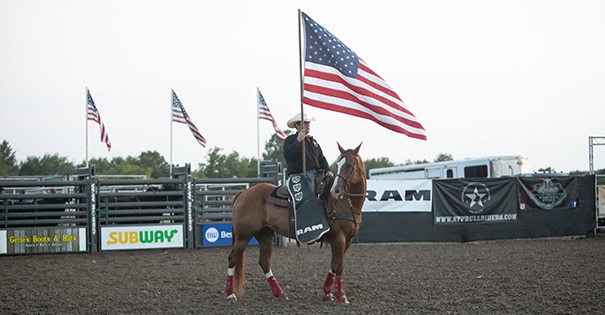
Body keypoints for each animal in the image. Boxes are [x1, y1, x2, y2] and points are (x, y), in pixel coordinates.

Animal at [224, 143, 366, 304]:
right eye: (338, 164)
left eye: (349, 165)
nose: (336, 190)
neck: (344, 203)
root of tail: (243, 193)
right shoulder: (339, 238)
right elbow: (339, 266)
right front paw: (341, 296)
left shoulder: (347, 240)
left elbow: (334, 265)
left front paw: (327, 294)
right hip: (244, 236)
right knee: (233, 259)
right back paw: (230, 294)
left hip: (265, 234)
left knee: (264, 262)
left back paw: (280, 293)